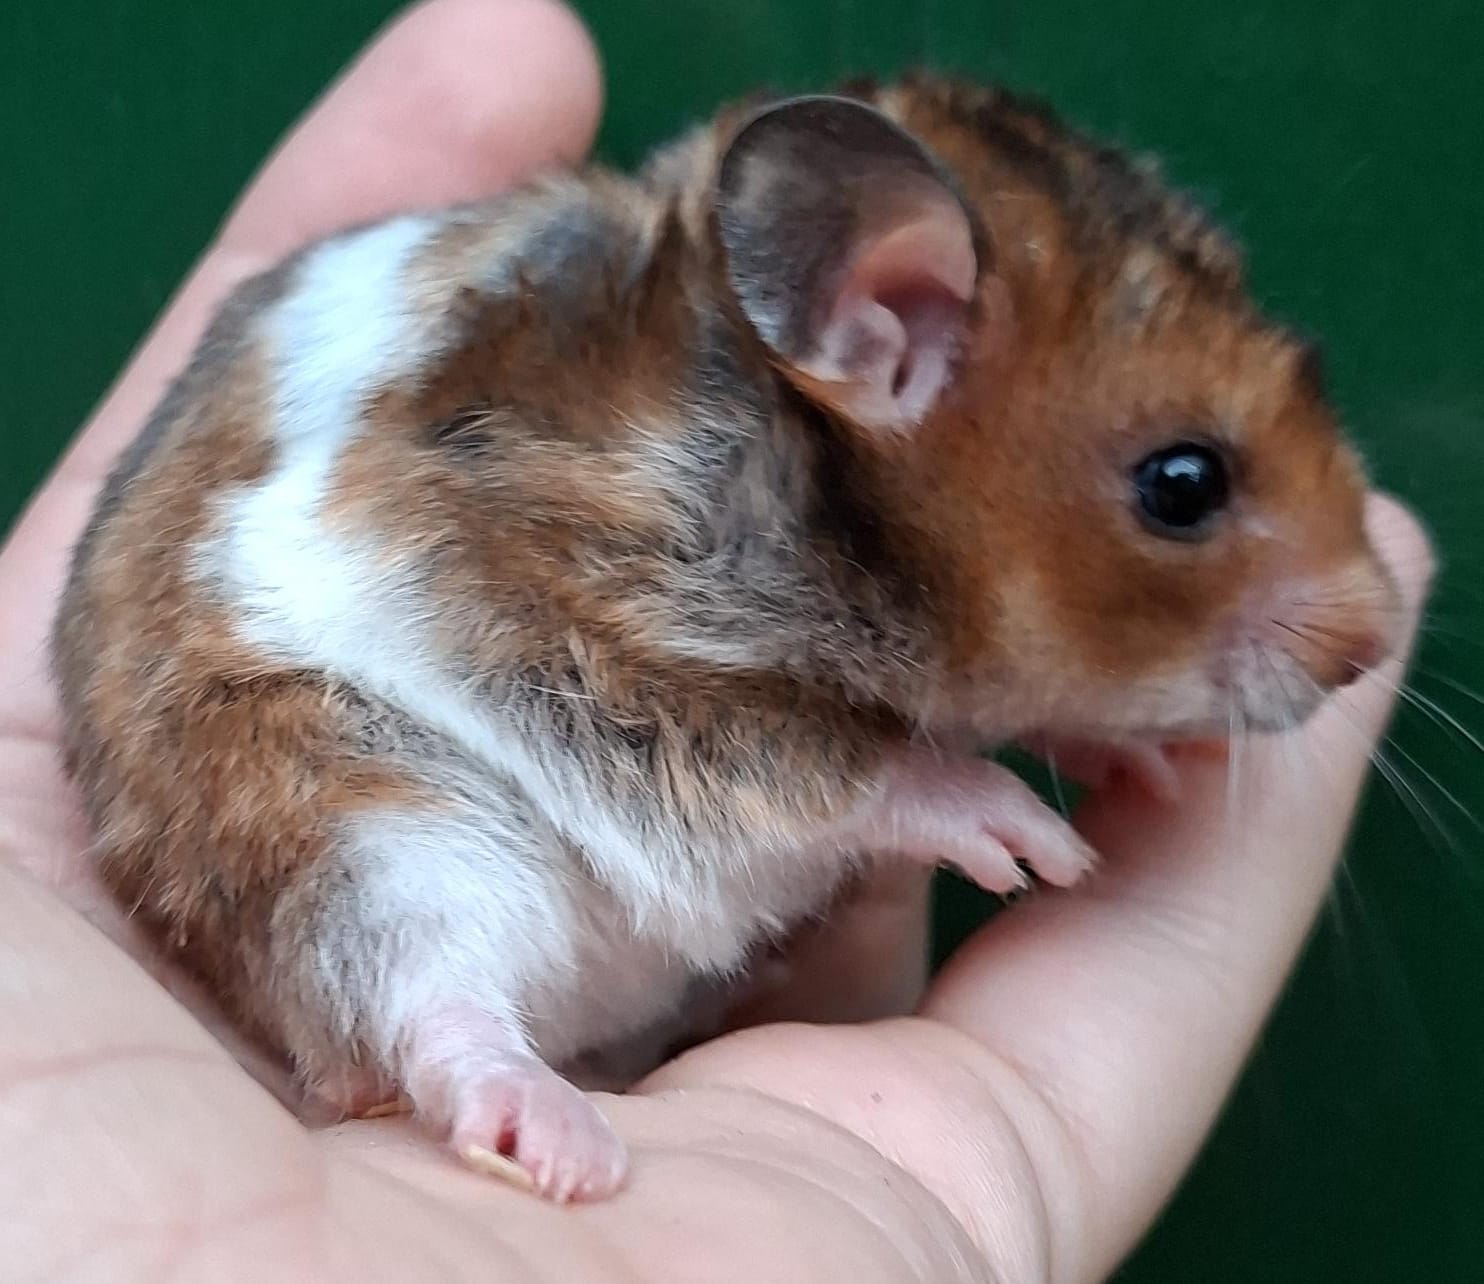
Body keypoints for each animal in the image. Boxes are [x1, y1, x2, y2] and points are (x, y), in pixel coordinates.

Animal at [52, 76, 1400, 1203]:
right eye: (1182, 484)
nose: (1373, 643)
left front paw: (1151, 769)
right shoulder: (558, 621)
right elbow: (838, 765)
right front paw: (1032, 844)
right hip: (346, 819)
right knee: (424, 1006)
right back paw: (563, 1143)